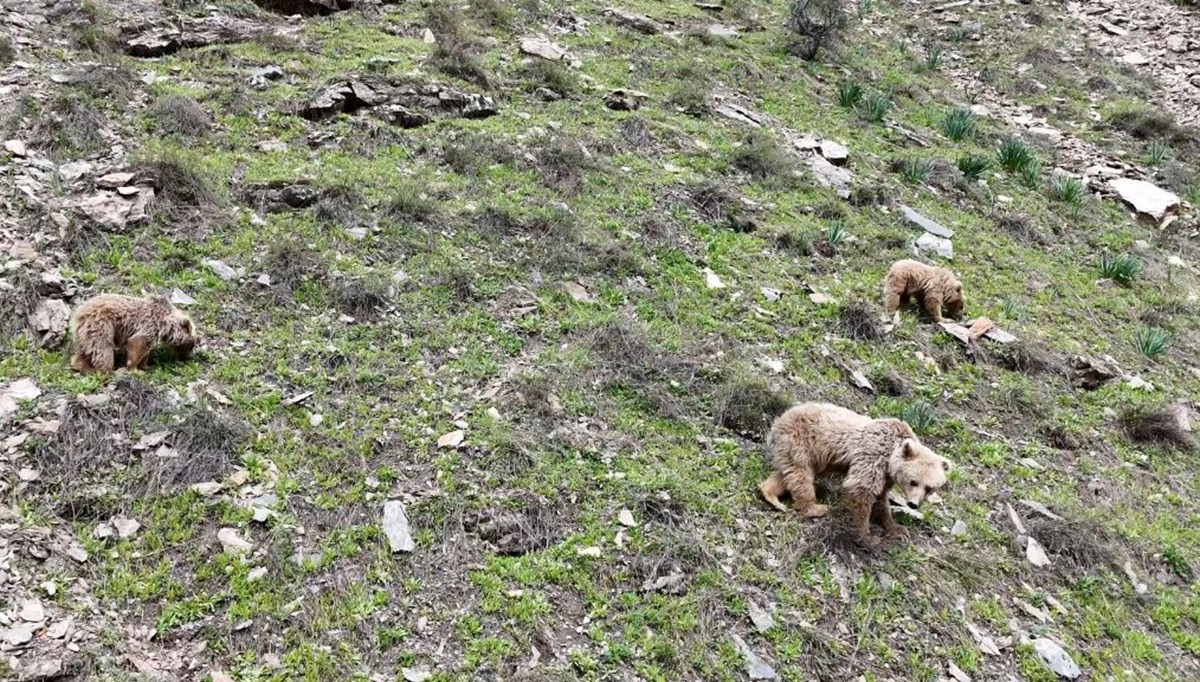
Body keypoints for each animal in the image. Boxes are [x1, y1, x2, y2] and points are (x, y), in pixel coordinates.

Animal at [67, 290, 195, 369]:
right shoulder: (150, 325)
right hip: (100, 326)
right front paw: (134, 367)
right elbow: (137, 343)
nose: (186, 358)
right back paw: (107, 370)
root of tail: (77, 314)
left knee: (87, 351)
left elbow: (145, 350)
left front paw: (145, 366)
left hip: (85, 334)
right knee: (102, 348)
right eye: (191, 344)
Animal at [763, 403, 950, 545]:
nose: (913, 504)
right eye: (913, 481)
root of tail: (779, 419)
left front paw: (898, 529)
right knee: (801, 475)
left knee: (787, 474)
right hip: (801, 443)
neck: (891, 454)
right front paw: (867, 536)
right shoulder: (874, 454)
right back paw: (814, 507)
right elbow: (861, 489)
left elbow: (881, 500)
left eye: (929, 488)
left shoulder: (886, 475)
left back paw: (770, 495)